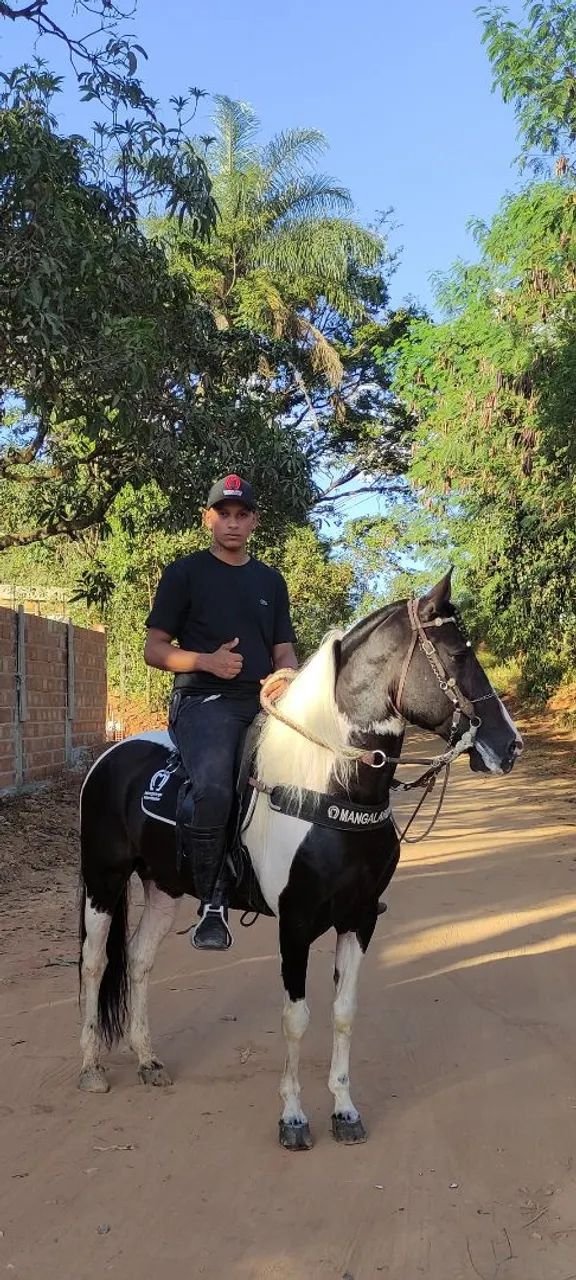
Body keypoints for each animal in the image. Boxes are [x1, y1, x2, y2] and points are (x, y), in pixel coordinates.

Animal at [78, 572, 522, 1149]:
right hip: (102, 879)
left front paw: (345, 1111)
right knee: (94, 962)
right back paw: (91, 1068)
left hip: (163, 888)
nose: (509, 746)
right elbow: (296, 1017)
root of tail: (113, 754)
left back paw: (148, 1059)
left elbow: (343, 1013)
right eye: (459, 654)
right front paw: (292, 1117)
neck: (329, 787)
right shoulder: (294, 923)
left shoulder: (359, 919)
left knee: (137, 959)